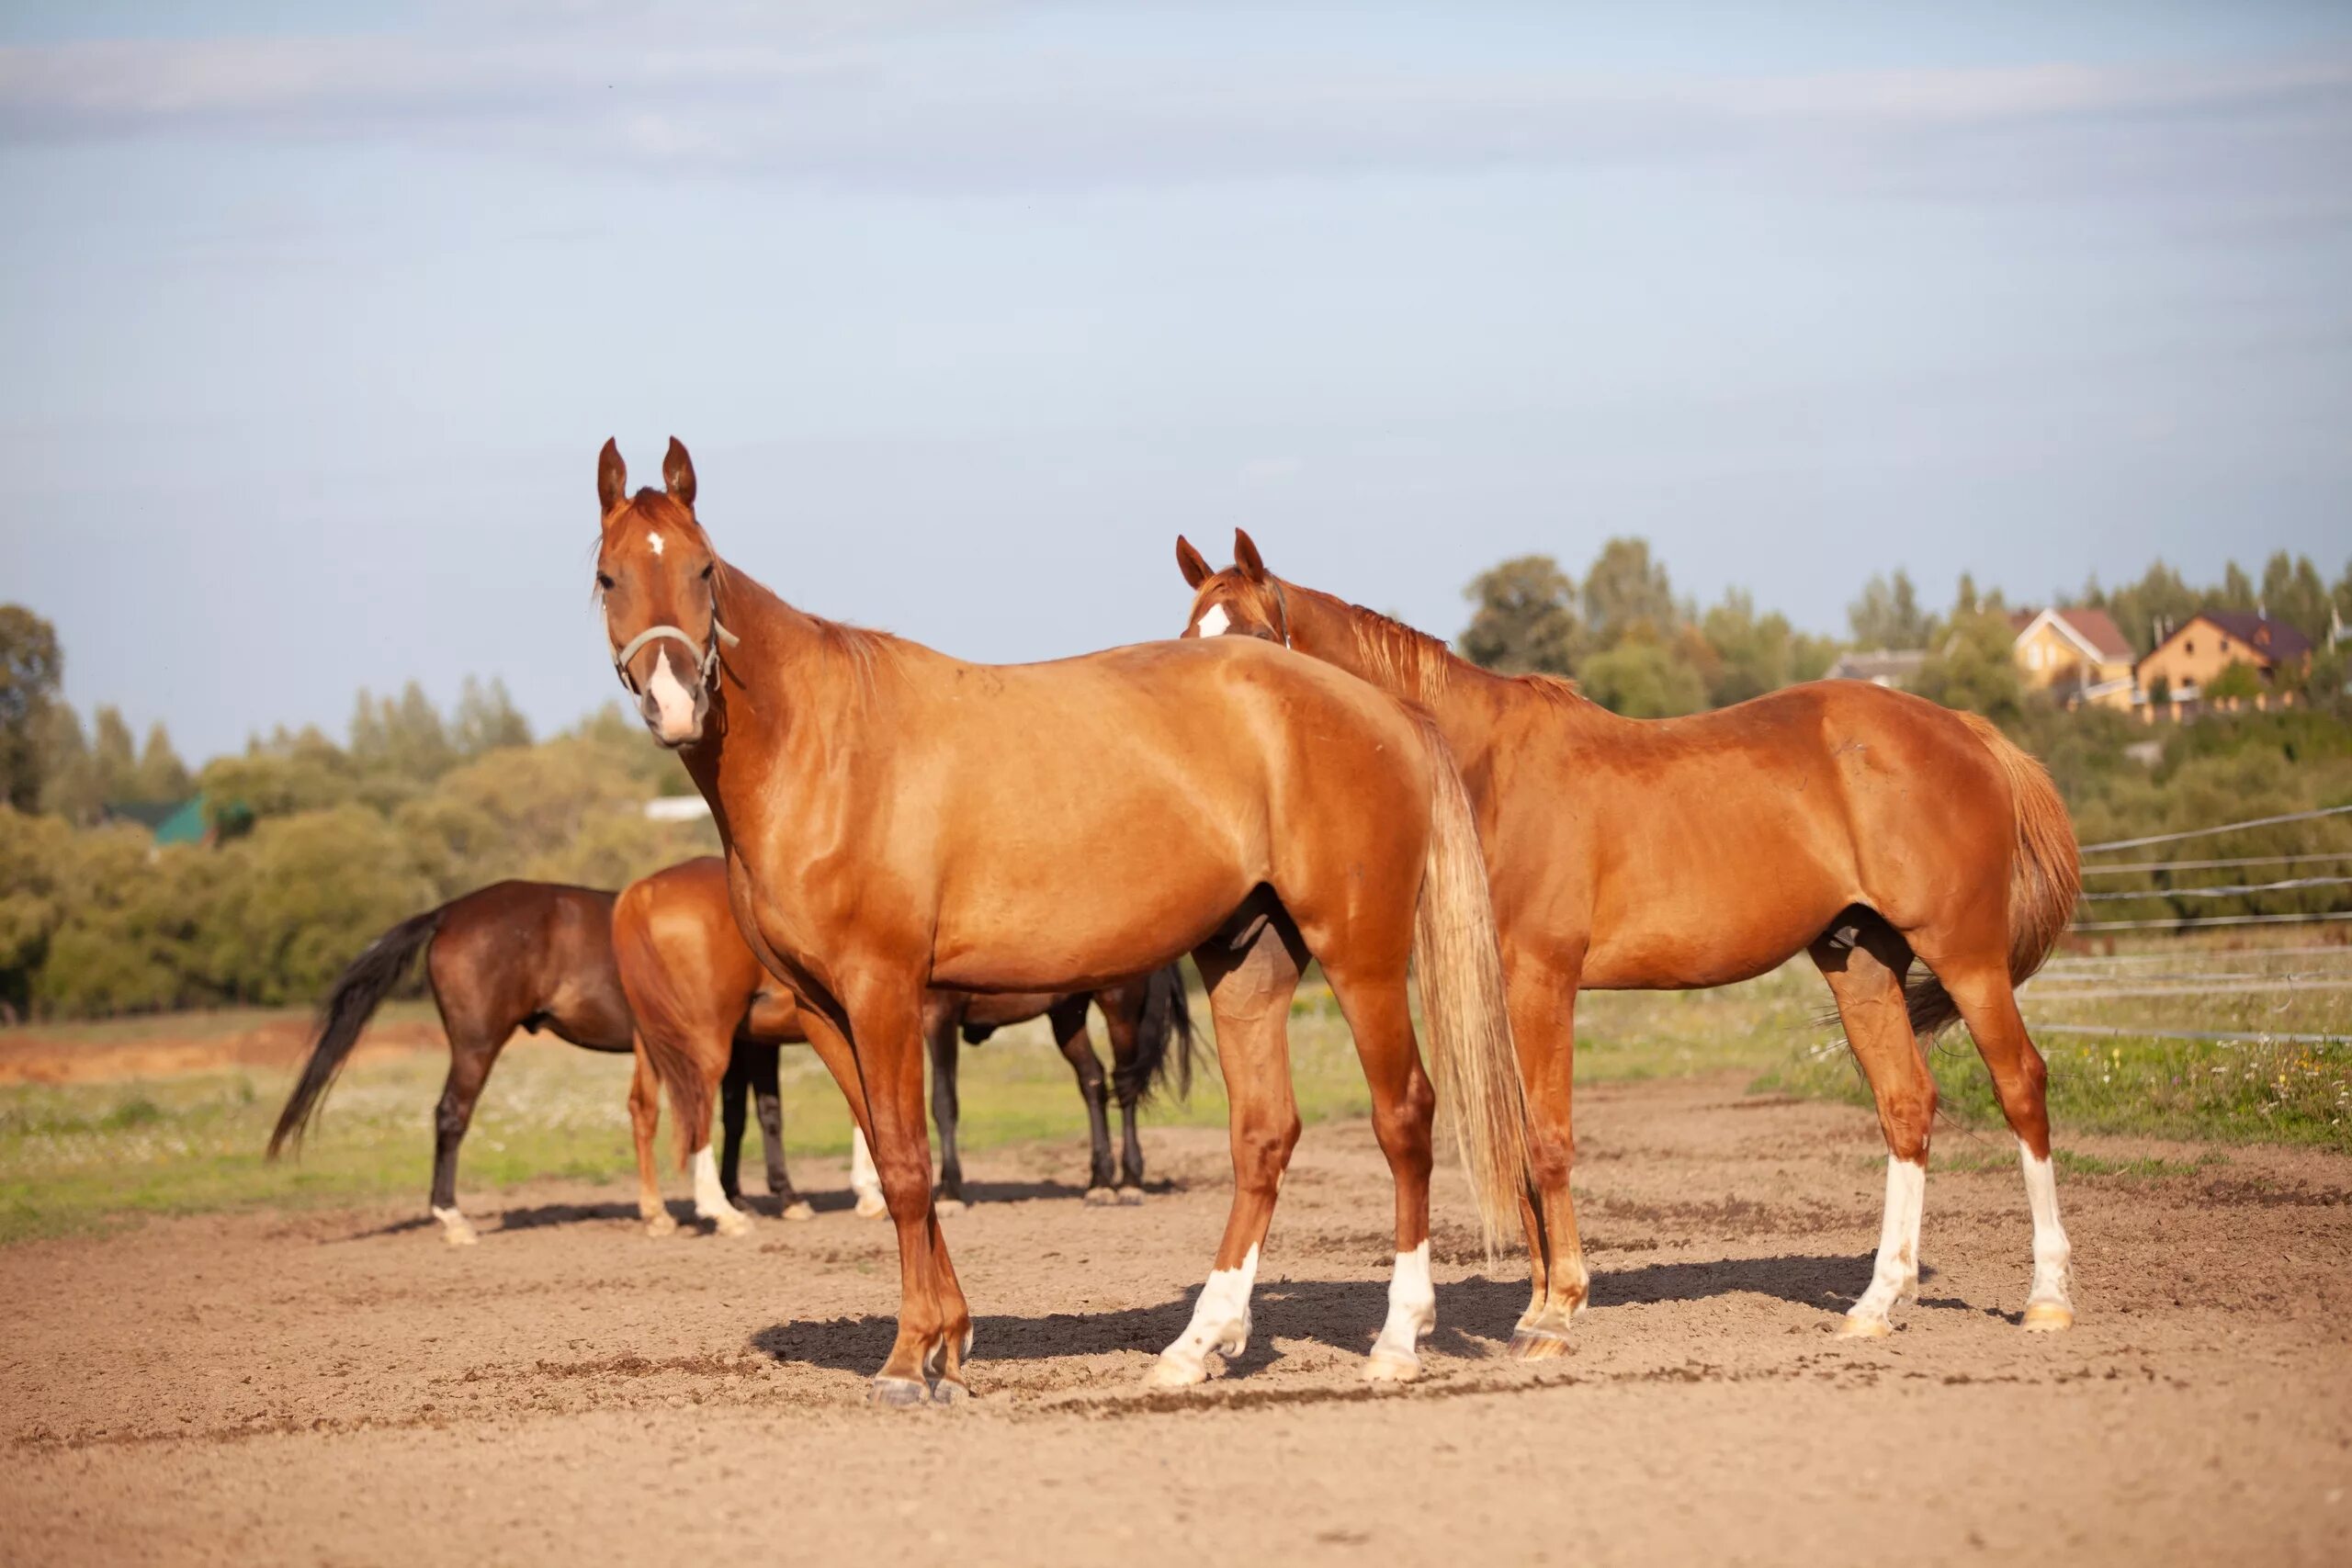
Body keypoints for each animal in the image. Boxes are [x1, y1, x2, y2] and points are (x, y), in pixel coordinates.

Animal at [270, 884, 795, 1250]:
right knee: (450, 1114)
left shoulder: (740, 1043)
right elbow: (760, 1114)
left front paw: (741, 1195)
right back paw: (453, 1218)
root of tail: (449, 912)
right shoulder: (746, 1041)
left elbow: (737, 1114)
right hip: (477, 1044)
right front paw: (773, 1197)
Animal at [597, 442, 1533, 1410]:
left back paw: (1396, 1338)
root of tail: (1386, 710)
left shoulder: (886, 993)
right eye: (608, 576)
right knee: (1264, 1135)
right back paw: (1197, 1343)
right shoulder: (825, 1011)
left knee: (1405, 1115)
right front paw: (949, 1344)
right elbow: (900, 1165)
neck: (824, 747)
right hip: (1250, 960)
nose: (673, 700)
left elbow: (908, 1166)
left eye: (704, 571)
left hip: (1361, 954)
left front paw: (908, 1357)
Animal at [1170, 533, 2079, 1344]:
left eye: (1256, 642)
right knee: (1906, 1106)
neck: (1480, 771)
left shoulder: (1543, 980)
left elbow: (1548, 1140)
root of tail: (1964, 728)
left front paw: (1560, 1307)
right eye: (1185, 639)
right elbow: (1524, 1147)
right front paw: (1537, 1304)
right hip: (1859, 959)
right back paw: (1875, 1304)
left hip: (1966, 956)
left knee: (2021, 1085)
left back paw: (2046, 1298)